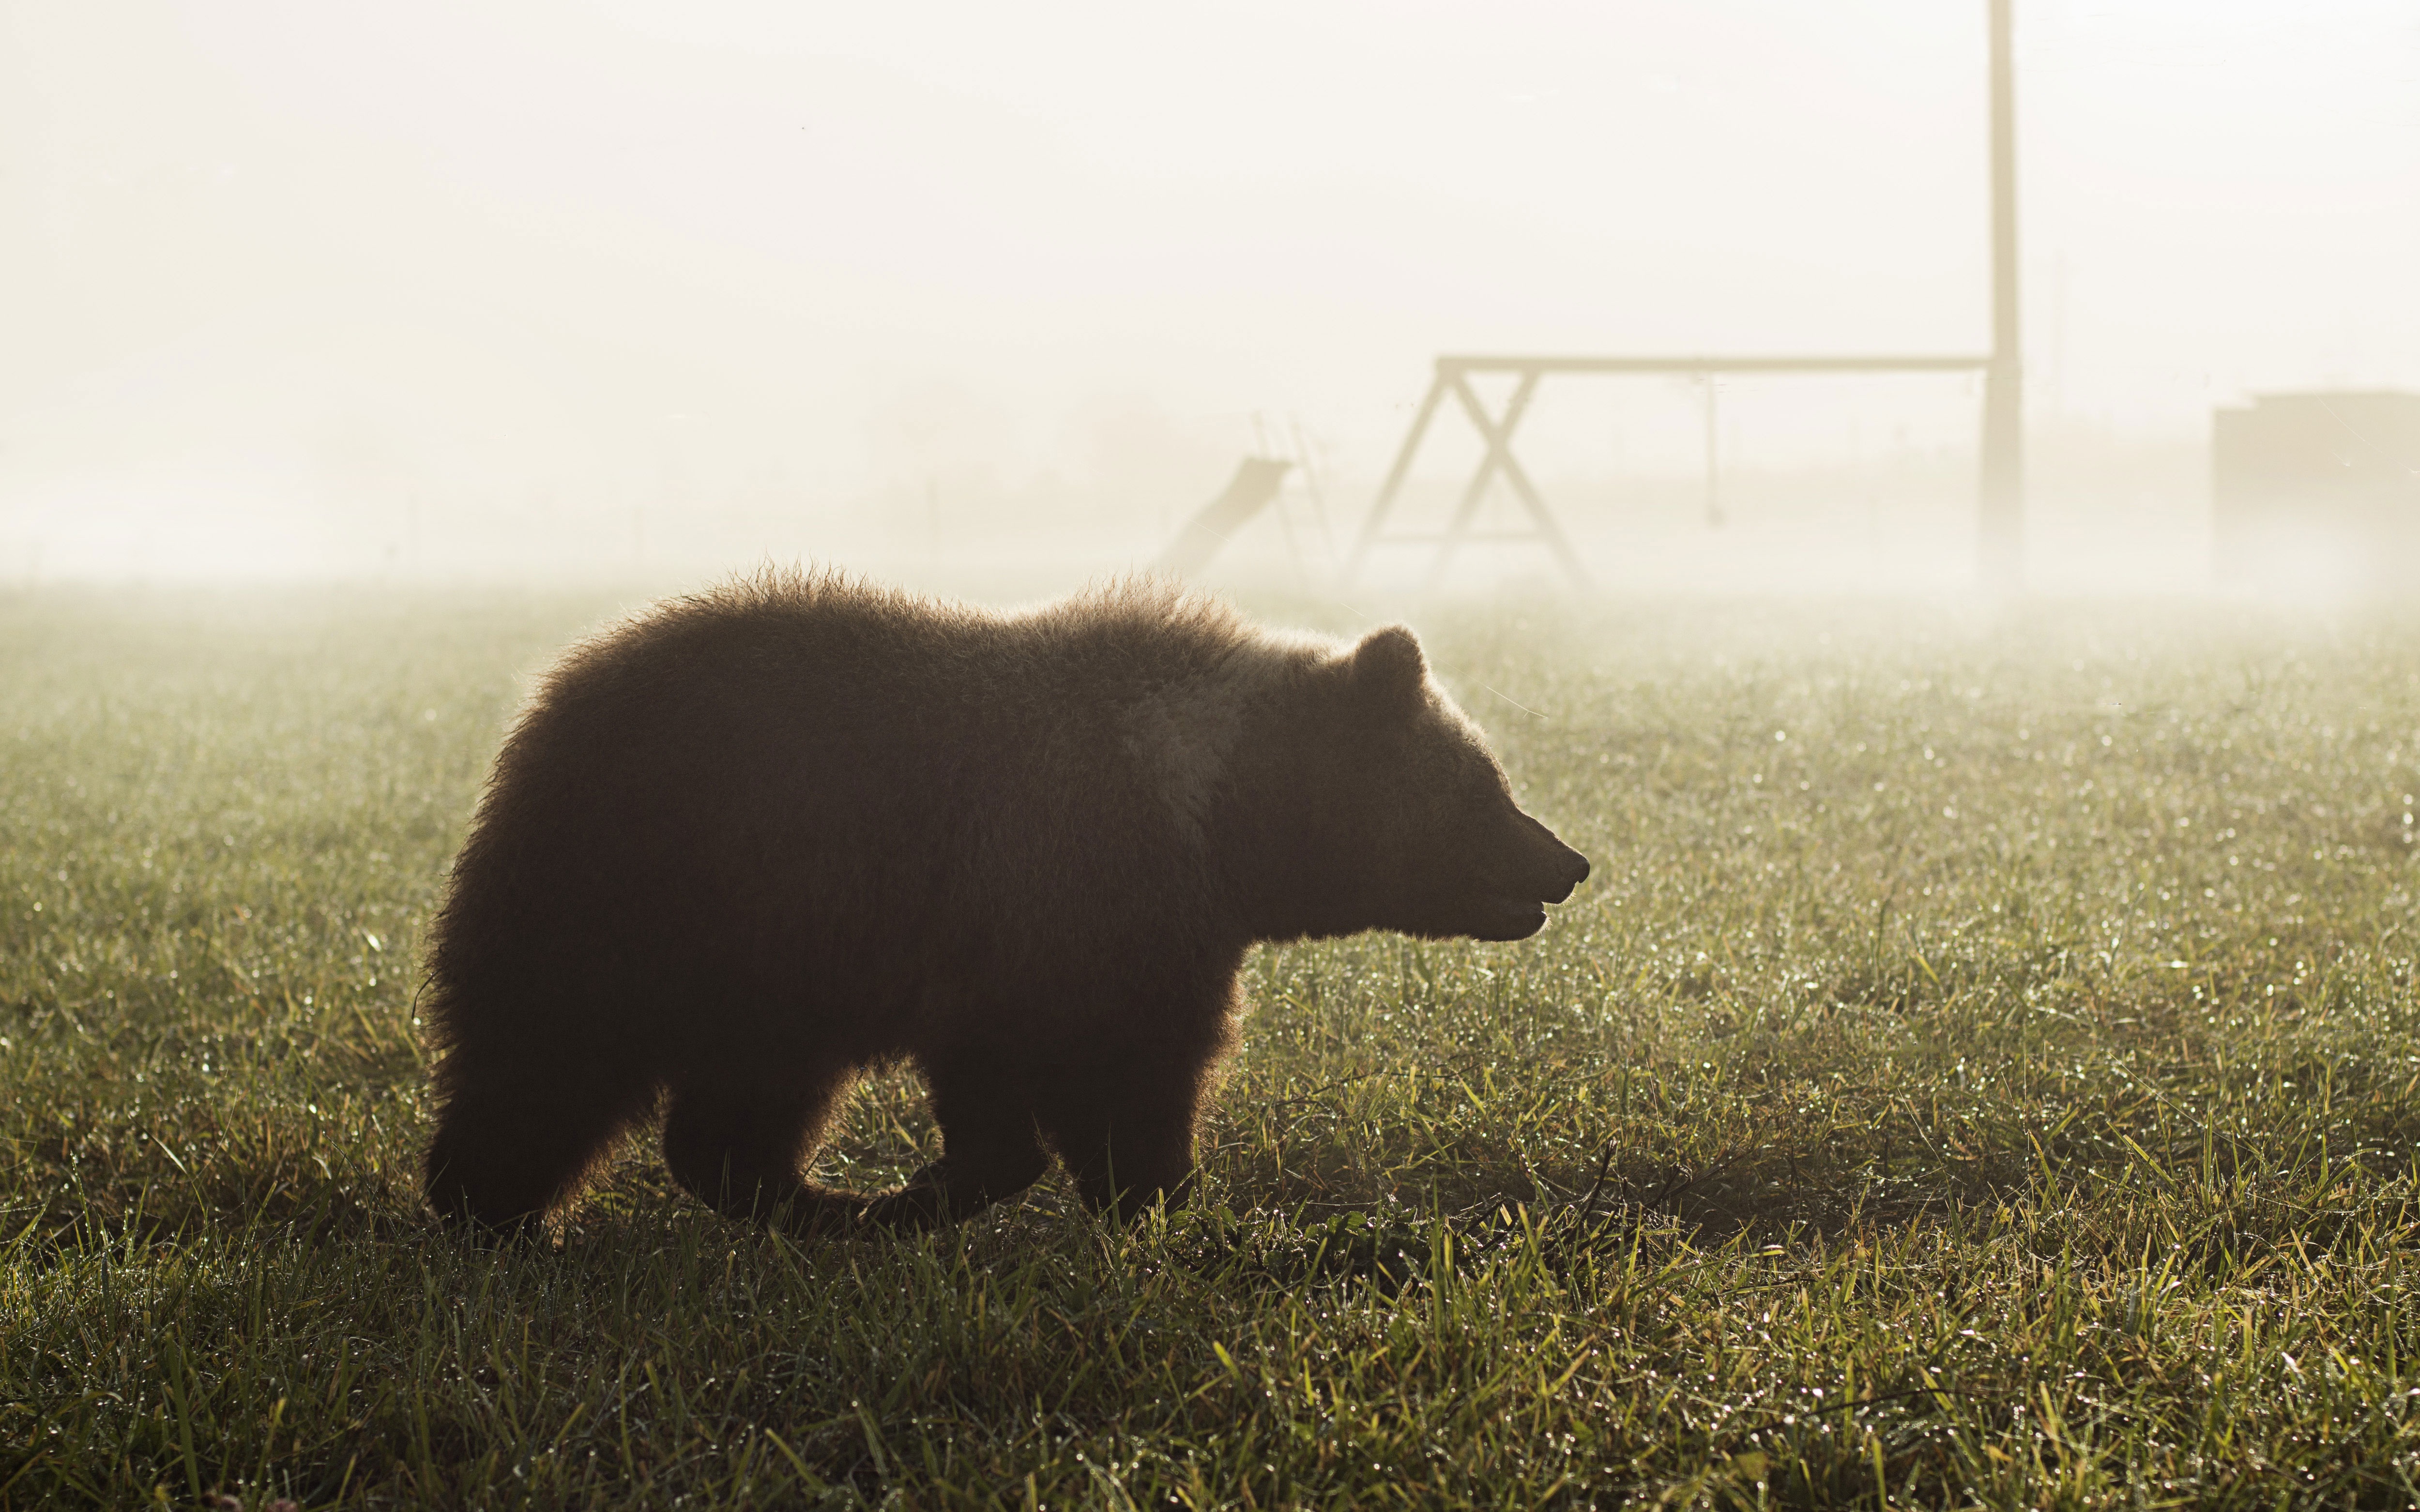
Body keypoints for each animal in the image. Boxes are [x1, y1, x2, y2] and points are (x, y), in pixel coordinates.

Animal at [420, 570, 1589, 1236]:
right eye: (1484, 782)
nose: (1566, 859)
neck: (1220, 816)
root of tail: (548, 708)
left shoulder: (1004, 941)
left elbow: (1003, 1085)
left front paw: (942, 1185)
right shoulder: (1085, 897)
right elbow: (1127, 1075)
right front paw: (1162, 1198)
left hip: (754, 955)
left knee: (714, 1103)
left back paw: (803, 1203)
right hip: (671, 897)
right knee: (549, 1064)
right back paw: (498, 1213)